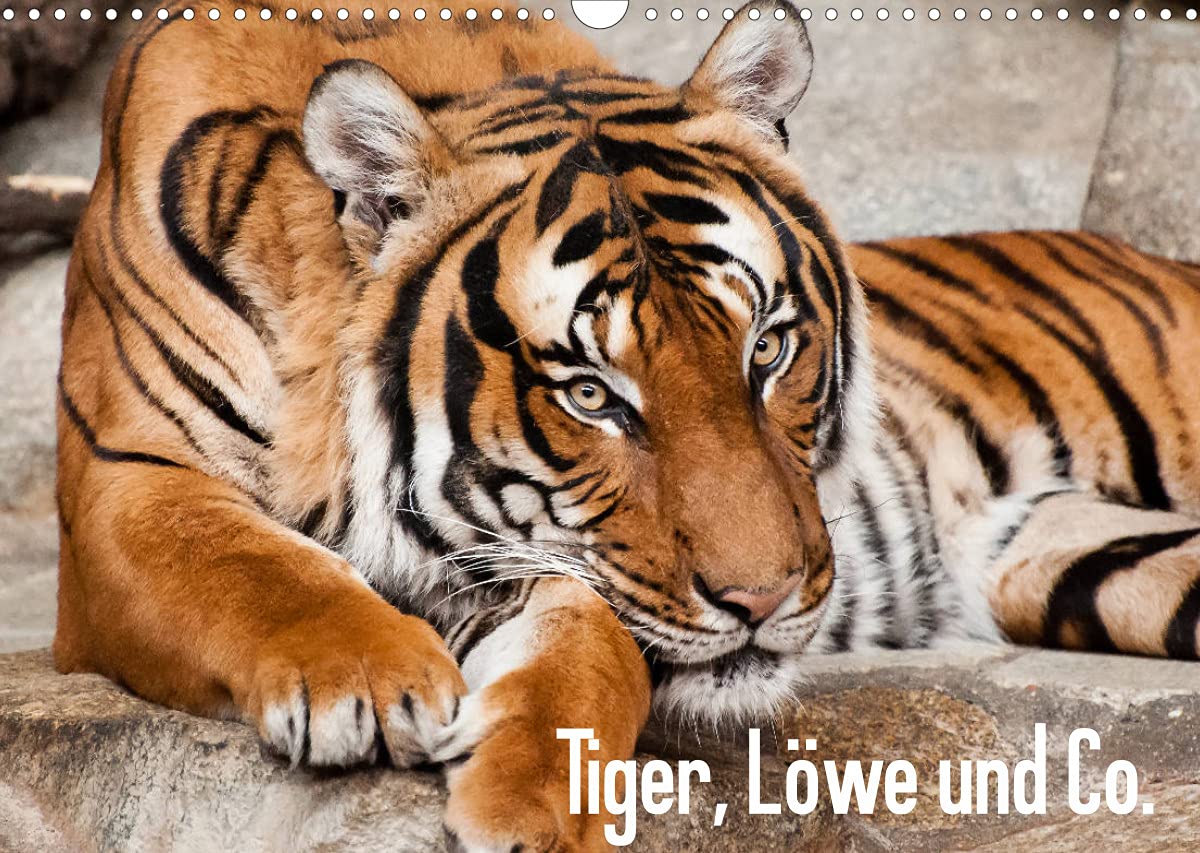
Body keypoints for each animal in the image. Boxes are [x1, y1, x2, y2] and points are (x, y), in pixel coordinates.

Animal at [53, 0, 1200, 848]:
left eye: (767, 350)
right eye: (592, 394)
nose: (765, 600)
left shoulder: (540, 551)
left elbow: (593, 640)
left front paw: (534, 801)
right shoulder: (123, 481)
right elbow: (242, 561)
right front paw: (367, 681)